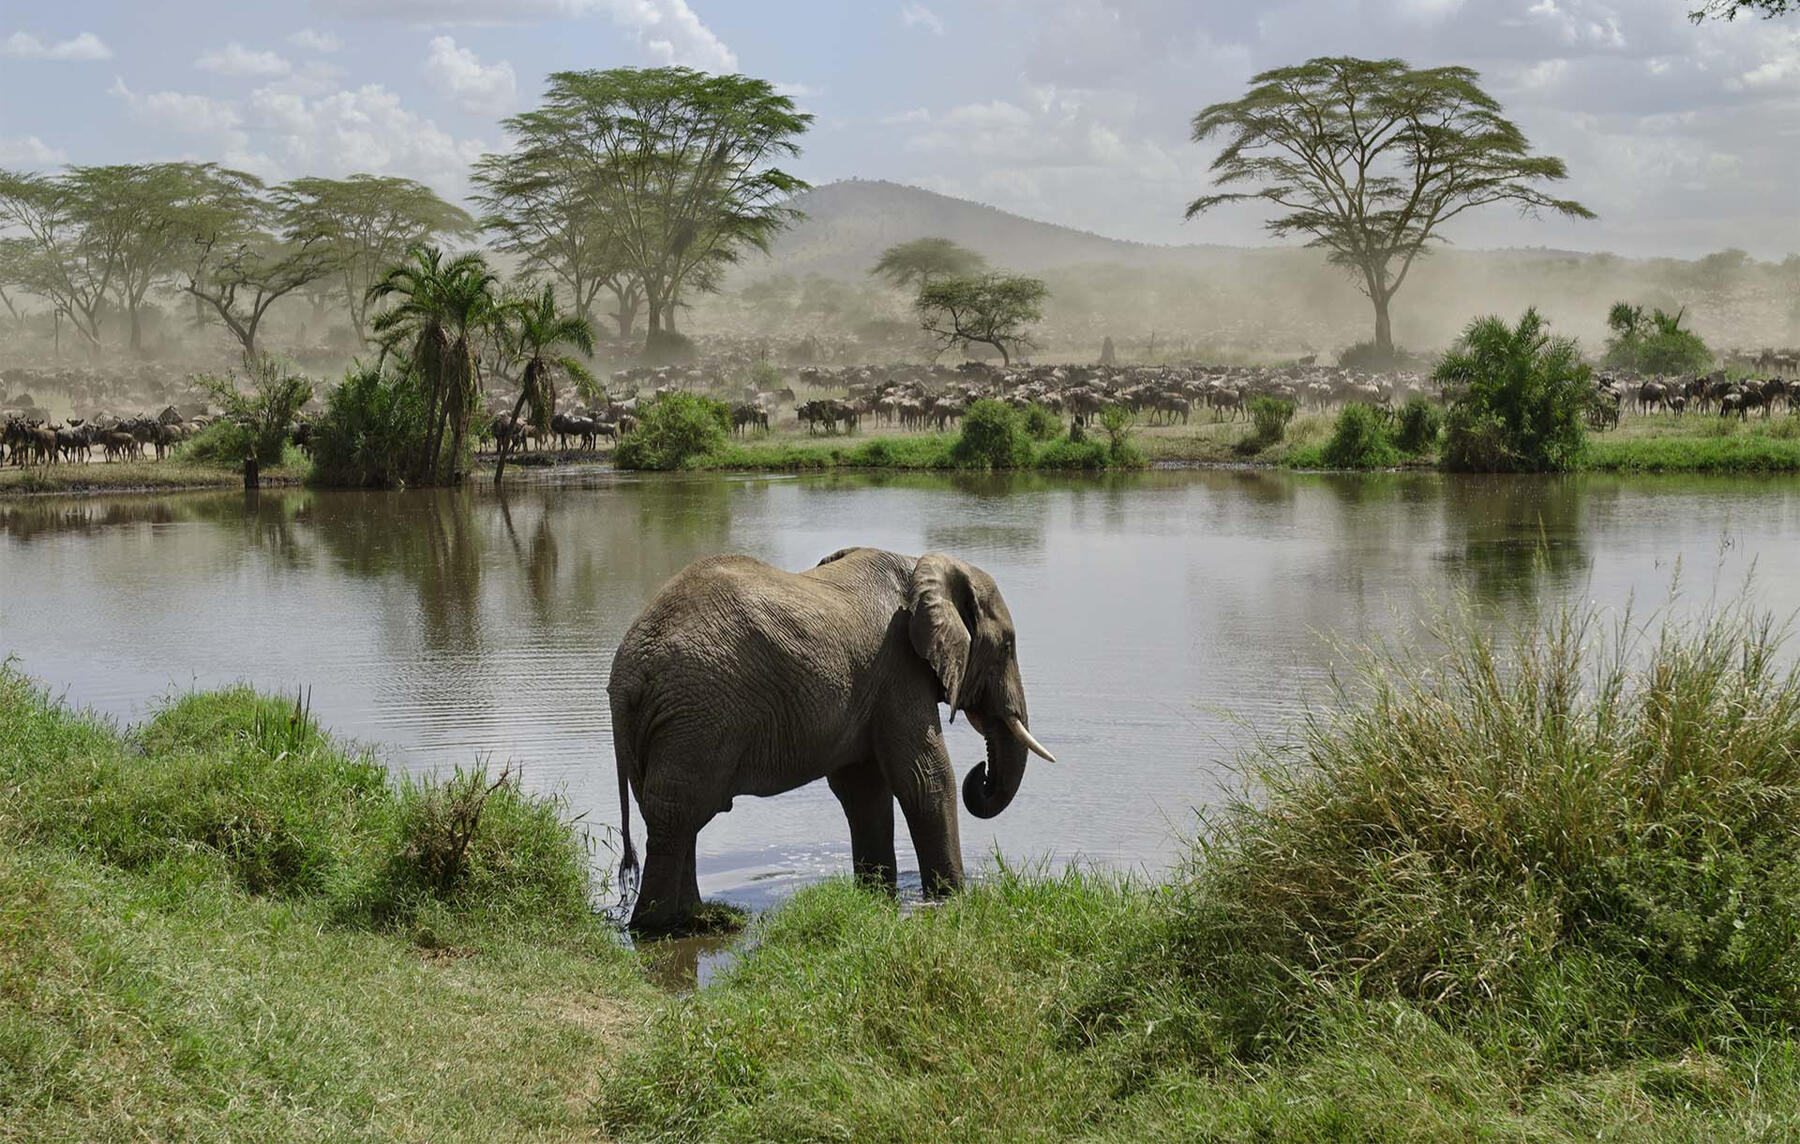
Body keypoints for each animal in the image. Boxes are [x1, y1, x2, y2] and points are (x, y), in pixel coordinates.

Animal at [608, 546, 1055, 934]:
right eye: (1008, 645)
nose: (980, 773)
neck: (922, 566)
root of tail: (628, 673)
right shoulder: (898, 667)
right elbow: (925, 778)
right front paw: (952, 898)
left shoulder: (872, 683)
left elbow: (864, 790)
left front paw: (876, 896)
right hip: (699, 713)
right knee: (678, 812)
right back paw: (659, 926)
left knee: (673, 815)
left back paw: (695, 919)